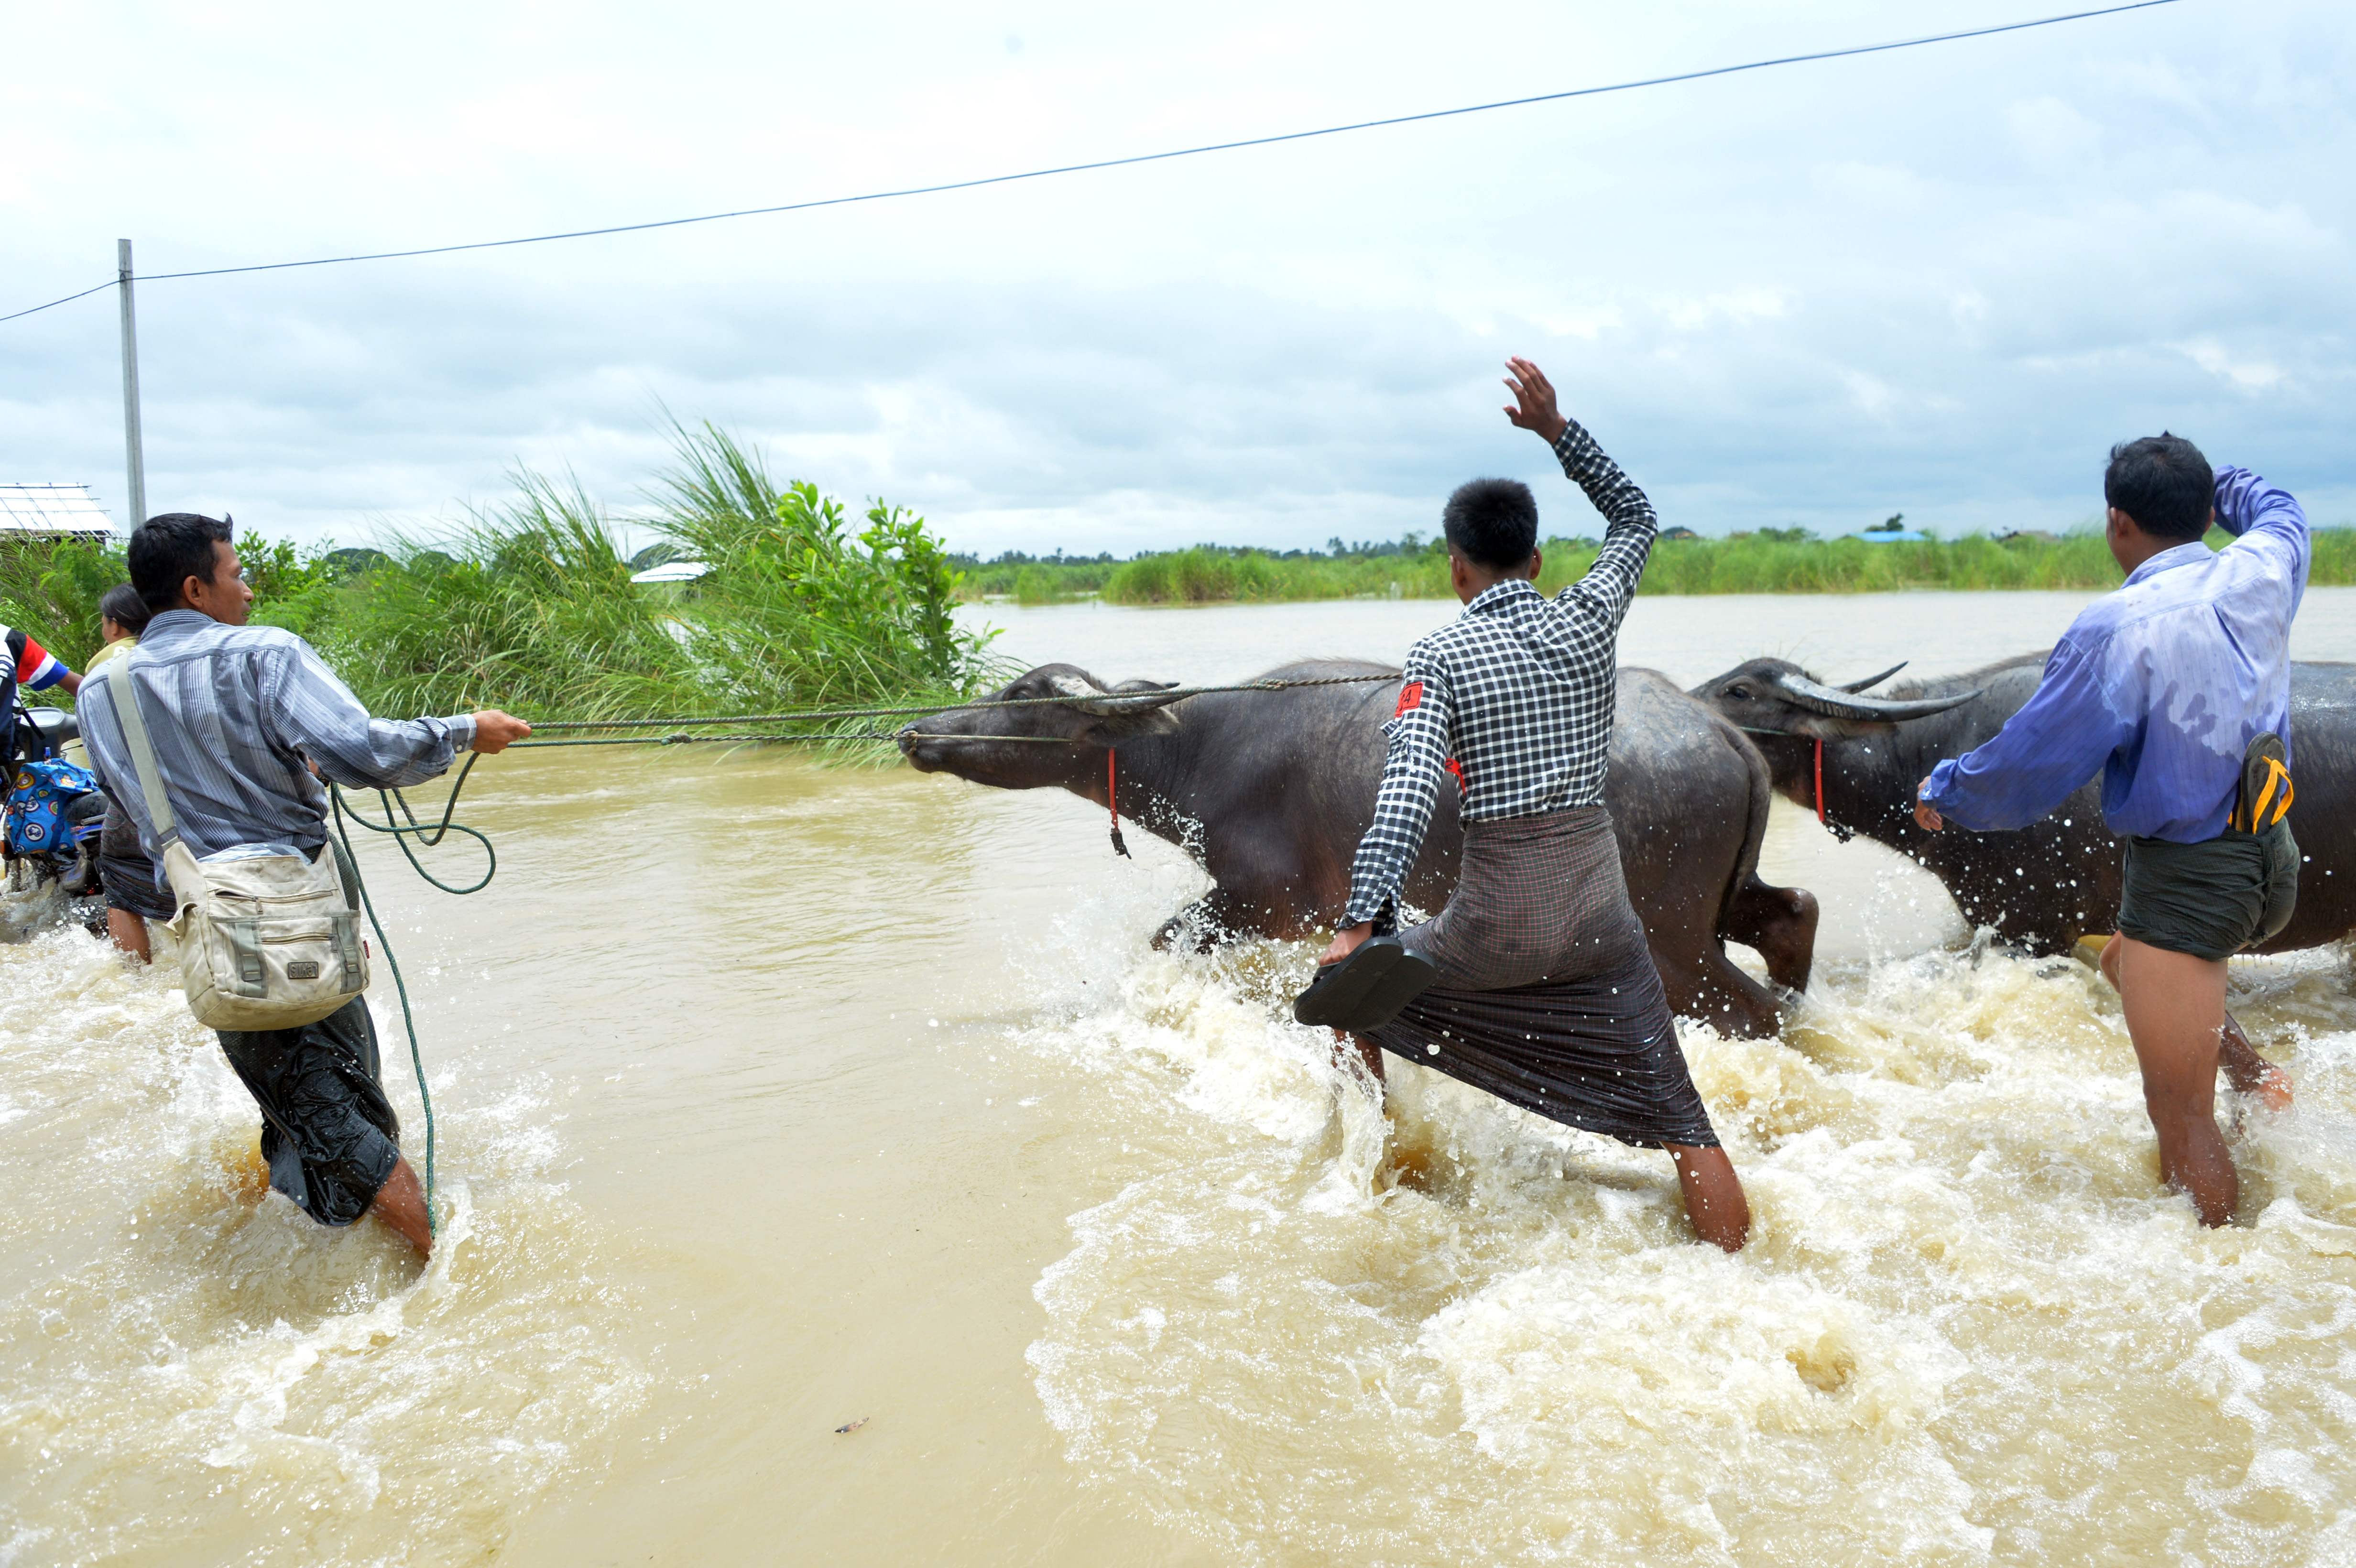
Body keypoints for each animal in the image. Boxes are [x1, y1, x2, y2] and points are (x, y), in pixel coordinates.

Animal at [895, 654, 1819, 1031]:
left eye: (1022, 696)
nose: (915, 731)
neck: (1197, 748)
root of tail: (1722, 734)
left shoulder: (1260, 902)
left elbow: (1164, 939)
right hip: (1724, 905)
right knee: (1794, 913)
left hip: (1668, 939)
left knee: (1747, 1010)